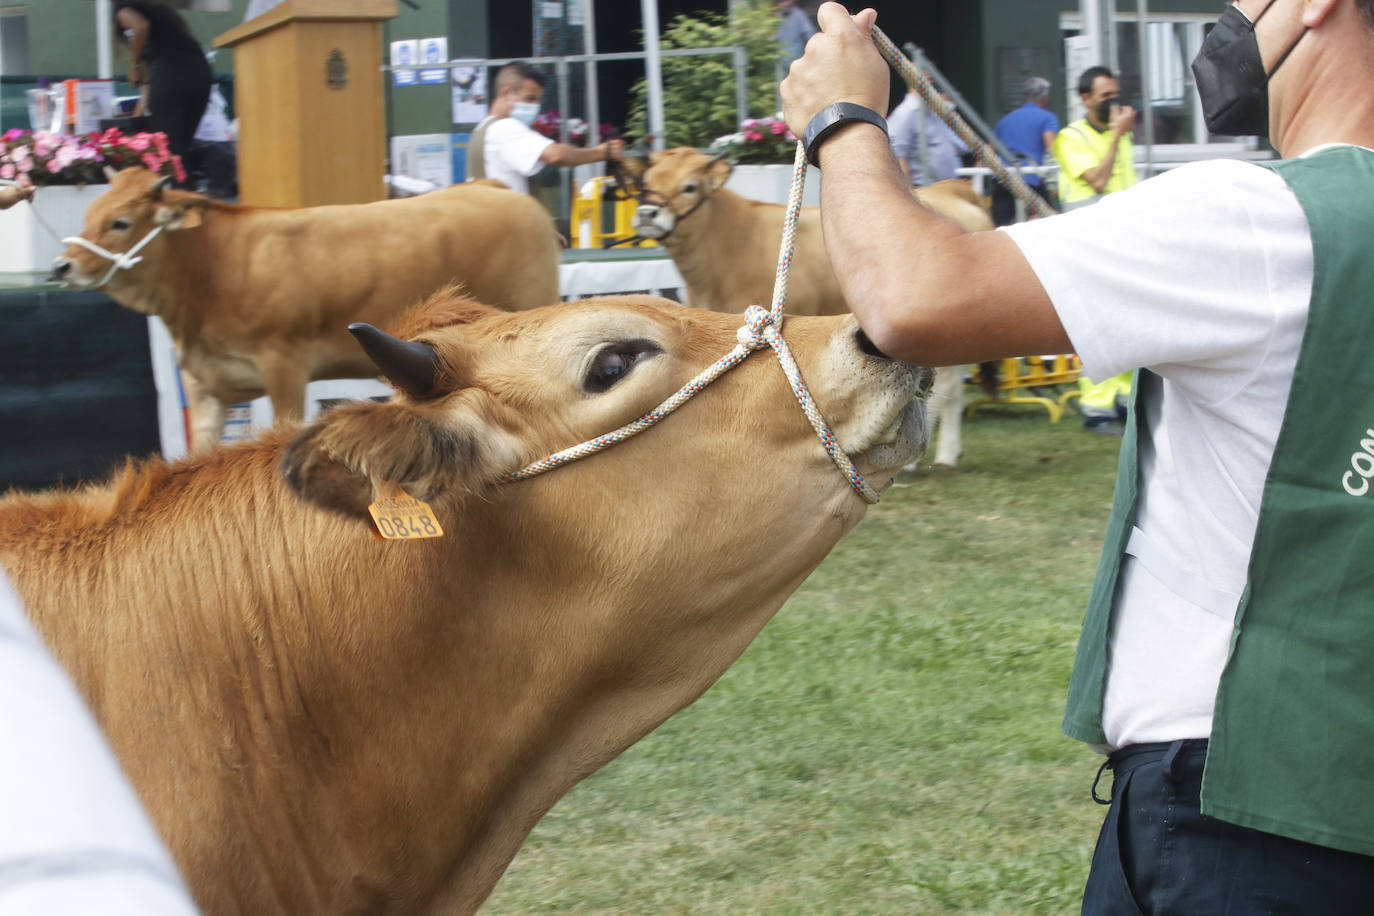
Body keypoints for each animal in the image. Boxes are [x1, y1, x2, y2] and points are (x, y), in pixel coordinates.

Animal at [50, 168, 560, 455]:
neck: (213, 271)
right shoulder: (203, 382)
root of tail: (495, 188)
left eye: (120, 222)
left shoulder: (284, 365)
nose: (61, 265)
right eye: (90, 212)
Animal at [618, 149, 994, 472]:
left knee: (949, 392)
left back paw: (940, 456)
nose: (648, 213)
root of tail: (952, 190)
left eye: (689, 186)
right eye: (646, 180)